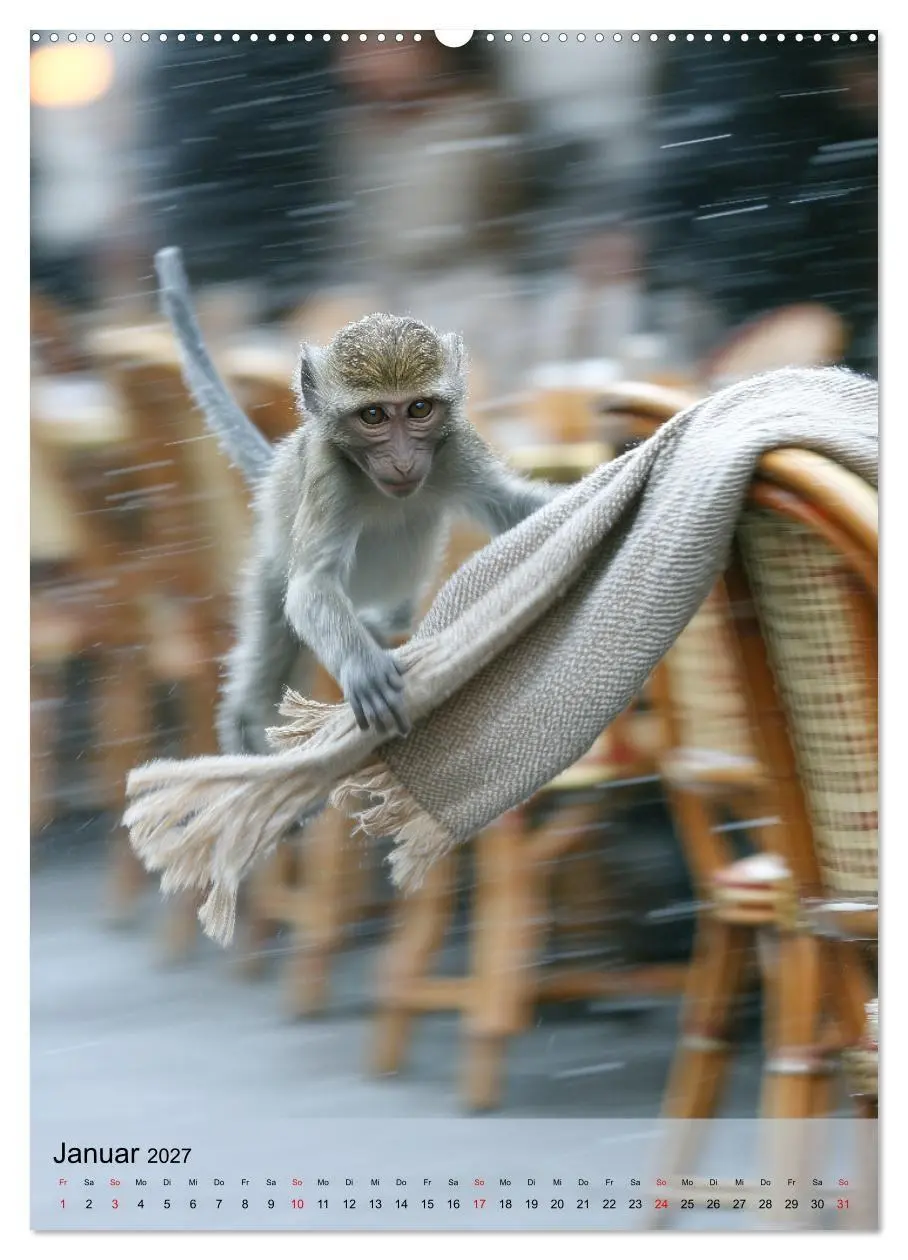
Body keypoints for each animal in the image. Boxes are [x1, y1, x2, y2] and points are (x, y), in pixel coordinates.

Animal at [155, 247, 559, 752]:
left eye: (419, 409)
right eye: (373, 416)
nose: (403, 461)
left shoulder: (456, 449)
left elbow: (511, 505)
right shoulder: (330, 476)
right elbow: (311, 587)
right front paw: (361, 668)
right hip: (269, 574)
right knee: (263, 676)